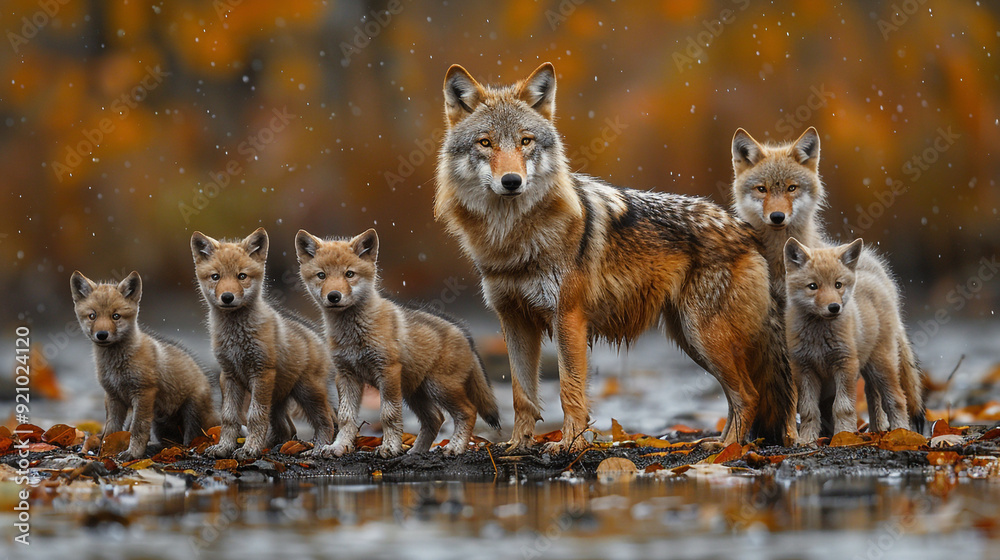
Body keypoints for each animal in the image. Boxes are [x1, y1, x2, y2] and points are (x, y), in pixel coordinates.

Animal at [71, 270, 217, 460]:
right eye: (92, 316)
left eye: (115, 316)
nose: (102, 334)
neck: (117, 367)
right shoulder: (113, 396)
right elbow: (111, 430)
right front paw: (104, 452)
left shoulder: (144, 393)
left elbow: (137, 428)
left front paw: (132, 454)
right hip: (159, 424)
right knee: (169, 442)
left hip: (192, 412)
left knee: (191, 439)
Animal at [191, 228, 336, 460]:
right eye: (216, 277)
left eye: (242, 276)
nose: (227, 297)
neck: (237, 339)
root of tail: (317, 335)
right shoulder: (228, 376)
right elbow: (229, 418)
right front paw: (225, 448)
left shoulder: (261, 373)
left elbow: (254, 417)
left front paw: (249, 449)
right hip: (277, 399)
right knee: (287, 429)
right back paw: (270, 447)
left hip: (307, 392)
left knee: (326, 422)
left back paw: (318, 449)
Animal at [296, 228, 500, 457]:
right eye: (321, 275)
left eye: (349, 274)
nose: (334, 296)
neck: (355, 335)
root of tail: (468, 338)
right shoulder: (346, 375)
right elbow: (345, 417)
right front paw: (339, 447)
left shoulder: (387, 371)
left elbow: (389, 416)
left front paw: (390, 447)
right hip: (416, 394)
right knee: (436, 418)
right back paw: (416, 452)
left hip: (439, 388)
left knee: (468, 411)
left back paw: (454, 447)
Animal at [434, 62, 796, 452]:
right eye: (485, 143)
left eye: (525, 141)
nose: (512, 181)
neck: (512, 239)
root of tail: (748, 231)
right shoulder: (514, 321)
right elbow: (521, 395)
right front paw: (518, 446)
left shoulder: (569, 318)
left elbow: (569, 390)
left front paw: (569, 444)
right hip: (691, 340)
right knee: (737, 396)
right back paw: (721, 445)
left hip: (704, 336)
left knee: (748, 394)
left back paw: (729, 449)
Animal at [784, 238, 912, 442]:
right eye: (813, 286)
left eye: (838, 285)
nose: (834, 307)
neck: (819, 338)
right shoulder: (803, 369)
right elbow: (808, 410)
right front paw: (807, 440)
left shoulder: (845, 364)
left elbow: (843, 408)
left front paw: (844, 436)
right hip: (869, 370)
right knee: (872, 397)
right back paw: (876, 430)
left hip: (881, 366)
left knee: (897, 399)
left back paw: (902, 433)